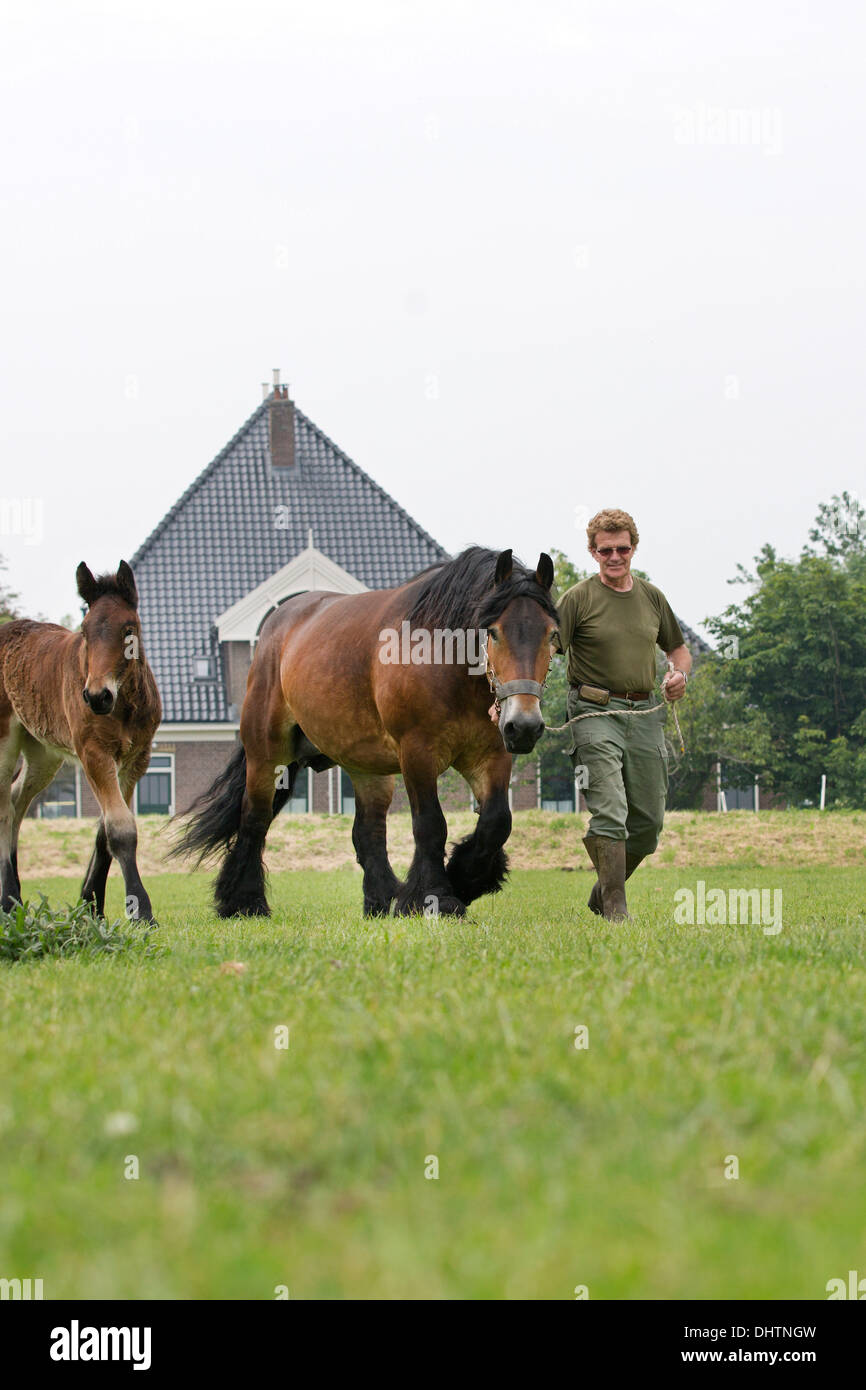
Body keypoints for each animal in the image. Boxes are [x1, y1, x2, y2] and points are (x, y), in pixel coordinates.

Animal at [0, 561, 161, 921]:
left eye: (128, 629)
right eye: (85, 632)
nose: (97, 696)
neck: (123, 706)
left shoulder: (135, 759)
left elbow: (105, 830)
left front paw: (91, 904)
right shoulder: (93, 754)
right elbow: (120, 828)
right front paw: (141, 910)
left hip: (43, 755)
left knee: (17, 800)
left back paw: (15, 896)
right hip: (4, 743)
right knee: (3, 809)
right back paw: (7, 900)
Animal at [172, 546, 558, 918]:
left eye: (552, 635)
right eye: (492, 631)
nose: (525, 725)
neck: (445, 663)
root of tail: (276, 625)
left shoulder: (491, 754)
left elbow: (496, 822)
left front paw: (464, 878)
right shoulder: (417, 752)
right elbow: (430, 824)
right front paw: (435, 897)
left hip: (366, 768)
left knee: (368, 833)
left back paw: (383, 899)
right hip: (267, 756)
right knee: (255, 818)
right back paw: (244, 902)